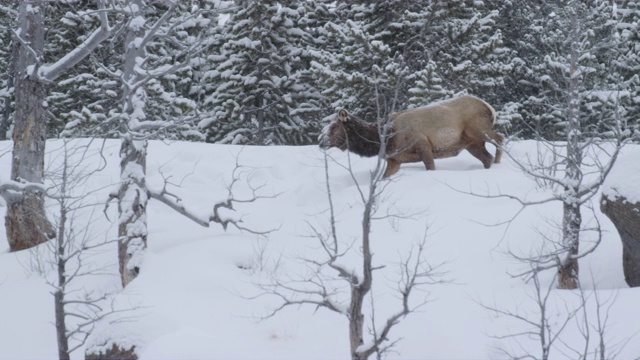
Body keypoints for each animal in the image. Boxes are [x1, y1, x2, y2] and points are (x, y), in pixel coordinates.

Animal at [320, 95, 504, 178]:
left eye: (334, 127)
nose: (321, 142)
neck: (385, 138)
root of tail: (490, 108)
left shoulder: (423, 144)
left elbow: (431, 167)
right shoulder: (395, 160)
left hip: (478, 129)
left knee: (500, 138)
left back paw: (498, 163)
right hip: (471, 143)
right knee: (486, 157)